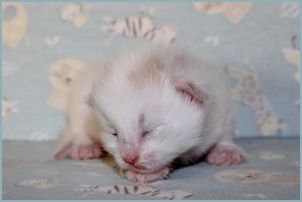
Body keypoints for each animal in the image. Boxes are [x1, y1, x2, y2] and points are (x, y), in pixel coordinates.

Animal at [53, 45, 247, 183]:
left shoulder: (220, 99)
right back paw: (84, 146)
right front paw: (139, 173)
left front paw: (226, 151)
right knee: (77, 128)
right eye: (114, 133)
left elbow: (226, 130)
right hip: (78, 106)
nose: (129, 159)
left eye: (150, 129)